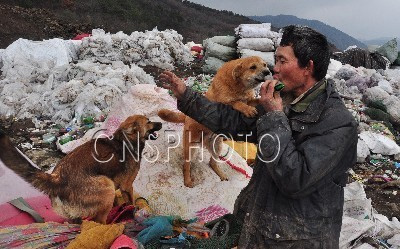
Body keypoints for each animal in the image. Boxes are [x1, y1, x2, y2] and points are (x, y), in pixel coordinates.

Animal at [0, 115, 162, 224]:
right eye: (148, 121)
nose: (161, 122)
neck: (125, 141)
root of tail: (57, 179)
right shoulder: (127, 187)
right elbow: (131, 202)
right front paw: (132, 211)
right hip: (106, 186)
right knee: (98, 221)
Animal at [158, 56, 270, 188]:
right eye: (253, 67)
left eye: (265, 65)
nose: (268, 72)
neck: (239, 87)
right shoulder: (222, 104)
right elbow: (236, 102)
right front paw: (247, 108)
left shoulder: (250, 99)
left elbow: (254, 100)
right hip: (190, 147)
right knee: (186, 165)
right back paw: (187, 180)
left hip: (217, 146)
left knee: (212, 162)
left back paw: (220, 174)